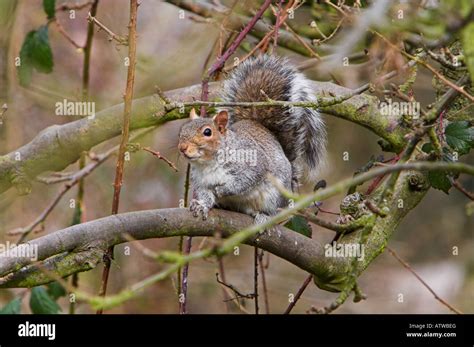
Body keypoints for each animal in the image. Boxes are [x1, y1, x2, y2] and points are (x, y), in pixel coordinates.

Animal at [178, 54, 326, 223]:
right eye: (182, 130)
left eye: (207, 132)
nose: (182, 147)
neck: (208, 163)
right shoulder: (201, 182)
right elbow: (205, 194)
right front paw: (201, 205)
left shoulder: (252, 162)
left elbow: (245, 181)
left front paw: (223, 189)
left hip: (275, 195)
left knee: (276, 212)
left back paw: (264, 216)